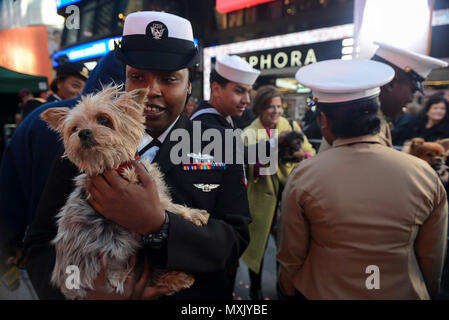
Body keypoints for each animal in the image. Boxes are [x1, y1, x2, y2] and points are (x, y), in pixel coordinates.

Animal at [41, 85, 209, 300]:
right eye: (74, 128)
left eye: (104, 120)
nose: (83, 133)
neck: (112, 165)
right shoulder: (139, 189)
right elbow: (167, 207)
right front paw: (195, 214)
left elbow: (169, 205)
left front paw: (194, 214)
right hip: (117, 271)